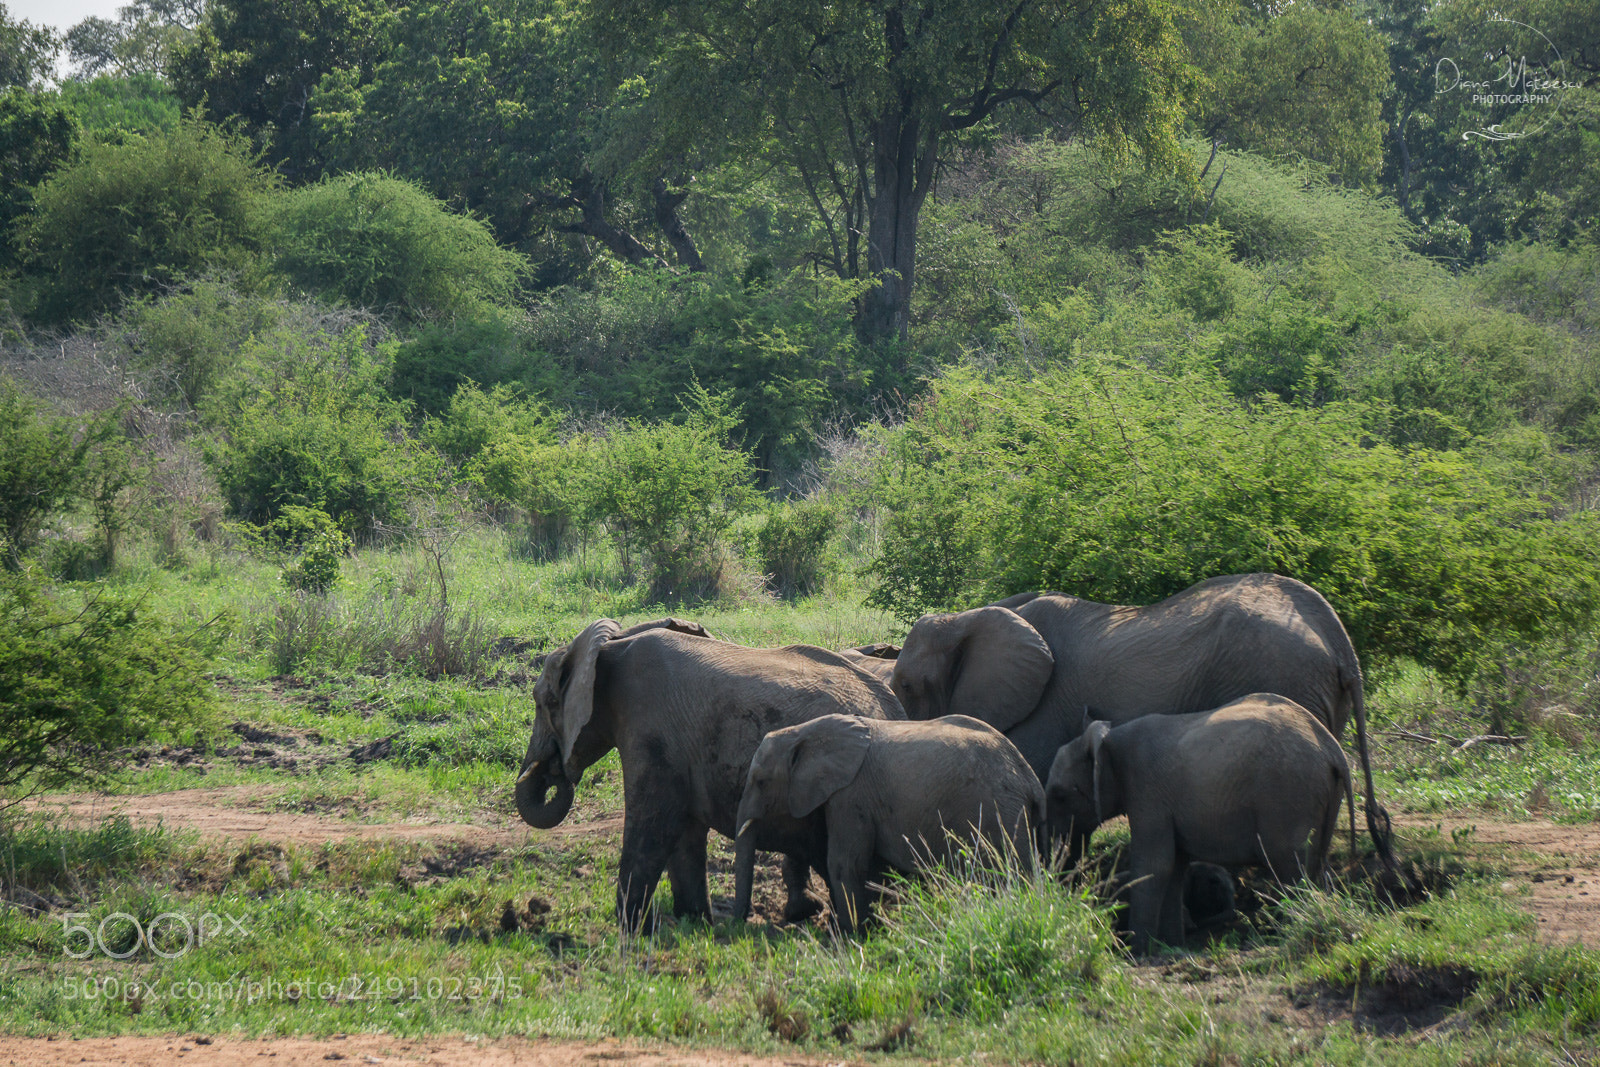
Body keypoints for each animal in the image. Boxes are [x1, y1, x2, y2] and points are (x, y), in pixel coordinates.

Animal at [513, 617, 904, 931]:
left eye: (542, 702)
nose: (552, 769)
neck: (610, 645)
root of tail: (894, 709)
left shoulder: (650, 731)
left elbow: (653, 821)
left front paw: (630, 928)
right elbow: (685, 828)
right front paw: (693, 920)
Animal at [732, 714, 1044, 933]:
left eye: (761, 782)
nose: (738, 925)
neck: (804, 732)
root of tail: (1029, 778)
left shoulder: (851, 794)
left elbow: (845, 863)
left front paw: (851, 934)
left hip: (1000, 811)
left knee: (1013, 873)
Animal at [1044, 694, 1355, 954]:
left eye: (1059, 795)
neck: (1108, 740)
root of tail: (1334, 751)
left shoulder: (1147, 792)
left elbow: (1154, 865)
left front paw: (1138, 952)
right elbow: (1175, 868)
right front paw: (1171, 947)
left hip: (1288, 797)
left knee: (1291, 866)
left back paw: (1286, 935)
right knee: (1317, 863)